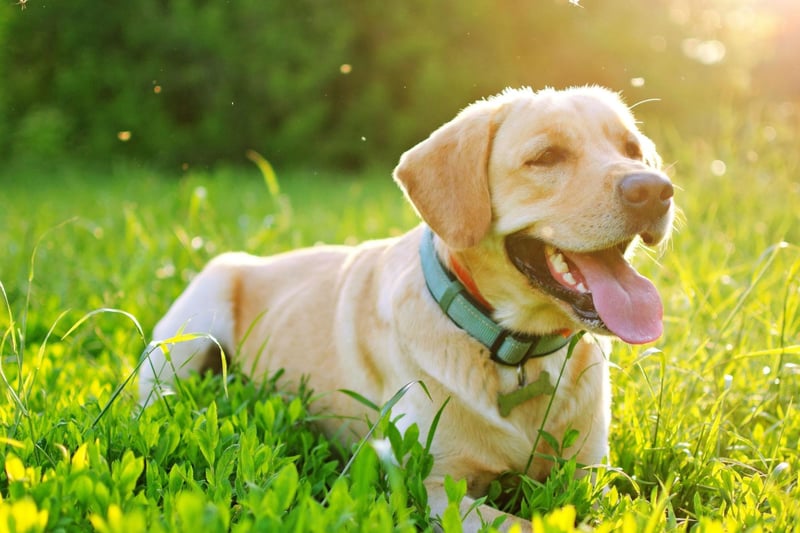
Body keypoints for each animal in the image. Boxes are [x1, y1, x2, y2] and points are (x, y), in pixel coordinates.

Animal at [141, 86, 672, 528]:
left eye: (631, 150)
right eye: (545, 157)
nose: (655, 189)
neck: (513, 354)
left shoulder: (589, 472)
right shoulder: (433, 485)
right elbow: (523, 523)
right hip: (190, 327)